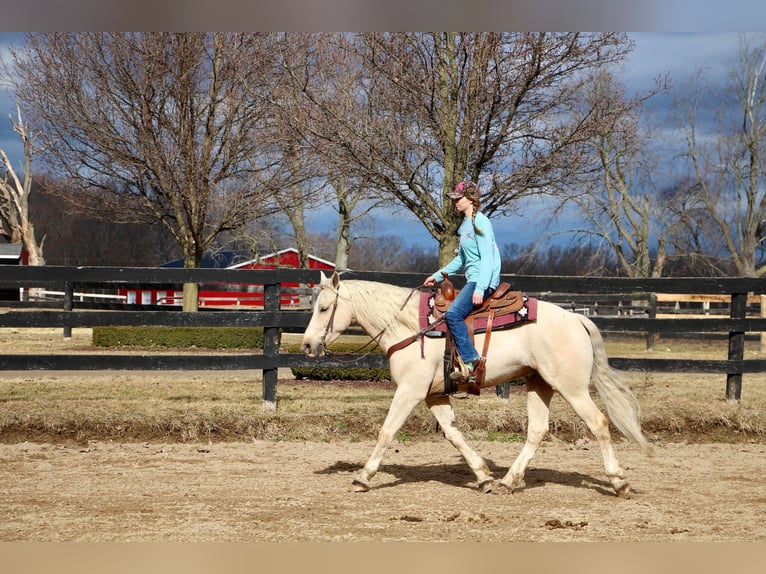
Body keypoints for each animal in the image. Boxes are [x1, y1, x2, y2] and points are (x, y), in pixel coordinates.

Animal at [302, 272, 656, 498]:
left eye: (323, 308)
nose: (306, 345)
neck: (408, 327)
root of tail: (576, 318)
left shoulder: (410, 391)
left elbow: (387, 431)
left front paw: (363, 476)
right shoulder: (434, 396)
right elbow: (454, 435)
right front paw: (484, 476)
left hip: (572, 388)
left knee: (598, 424)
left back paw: (619, 483)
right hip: (539, 383)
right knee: (537, 430)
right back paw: (508, 482)